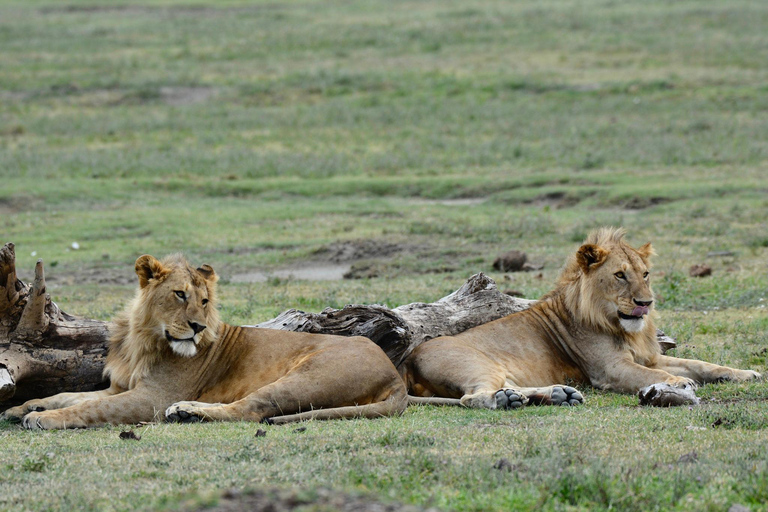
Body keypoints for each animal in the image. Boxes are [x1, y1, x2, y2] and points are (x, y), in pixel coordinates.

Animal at [1, 255, 408, 428]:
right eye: (180, 295)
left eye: (206, 300)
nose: (197, 327)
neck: (142, 340)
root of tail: (394, 375)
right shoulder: (121, 386)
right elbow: (69, 395)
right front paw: (26, 407)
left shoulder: (151, 398)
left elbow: (88, 408)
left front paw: (43, 418)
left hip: (305, 377)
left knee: (252, 409)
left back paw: (187, 412)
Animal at [402, 226, 760, 410]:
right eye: (620, 275)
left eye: (645, 274)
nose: (645, 303)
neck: (623, 327)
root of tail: (407, 362)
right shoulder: (610, 369)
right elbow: (653, 375)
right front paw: (678, 383)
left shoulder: (650, 356)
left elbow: (702, 365)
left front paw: (745, 374)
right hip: (478, 364)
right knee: (472, 397)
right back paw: (505, 400)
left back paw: (558, 394)